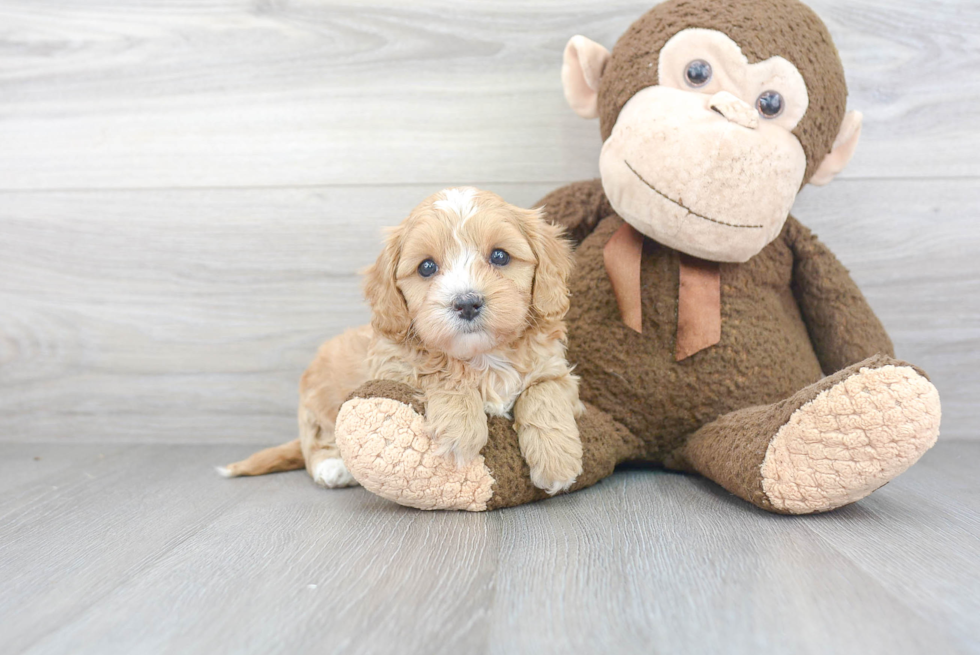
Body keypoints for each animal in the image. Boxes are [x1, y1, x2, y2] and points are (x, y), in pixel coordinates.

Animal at [222, 190, 584, 498]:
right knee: (315, 443)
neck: (482, 356)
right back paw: (333, 467)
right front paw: (461, 429)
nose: (467, 303)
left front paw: (558, 461)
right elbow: (438, 371)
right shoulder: (391, 367)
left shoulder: (558, 371)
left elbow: (544, 393)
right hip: (318, 403)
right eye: (426, 267)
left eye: (500, 256)